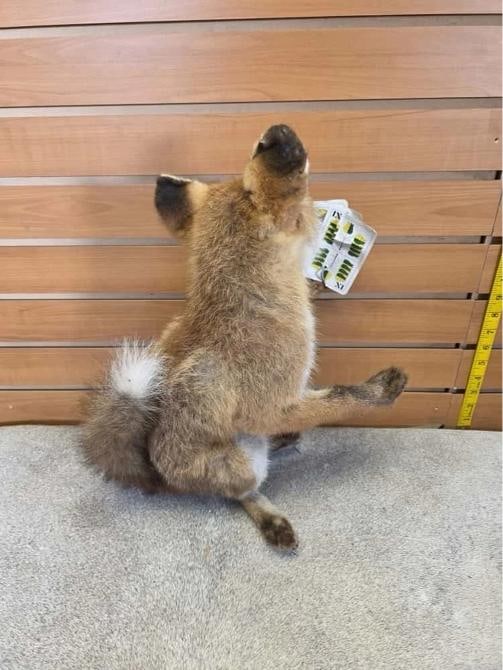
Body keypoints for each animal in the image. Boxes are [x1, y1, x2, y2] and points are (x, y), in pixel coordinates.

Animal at [80, 125, 407, 550]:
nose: (277, 131)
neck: (250, 300)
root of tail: (159, 476)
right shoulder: (273, 404)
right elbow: (341, 398)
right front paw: (380, 391)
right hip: (242, 465)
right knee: (242, 493)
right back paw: (271, 516)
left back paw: (282, 444)